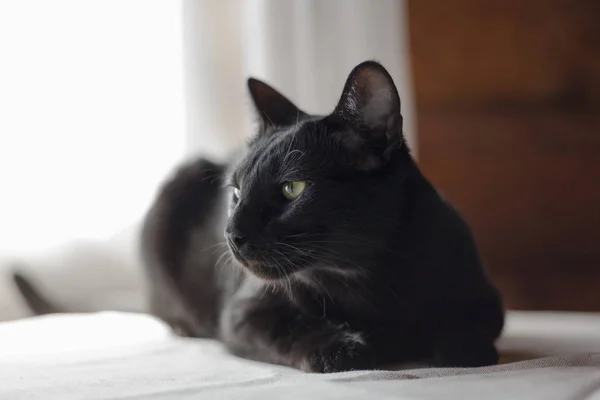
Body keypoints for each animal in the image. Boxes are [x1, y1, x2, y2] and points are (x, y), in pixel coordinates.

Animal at [139, 61, 502, 374]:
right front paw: (342, 349)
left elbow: (468, 324)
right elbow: (291, 329)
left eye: (293, 188)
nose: (231, 234)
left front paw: (464, 348)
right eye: (237, 192)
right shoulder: (243, 312)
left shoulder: (485, 297)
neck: (366, 282)